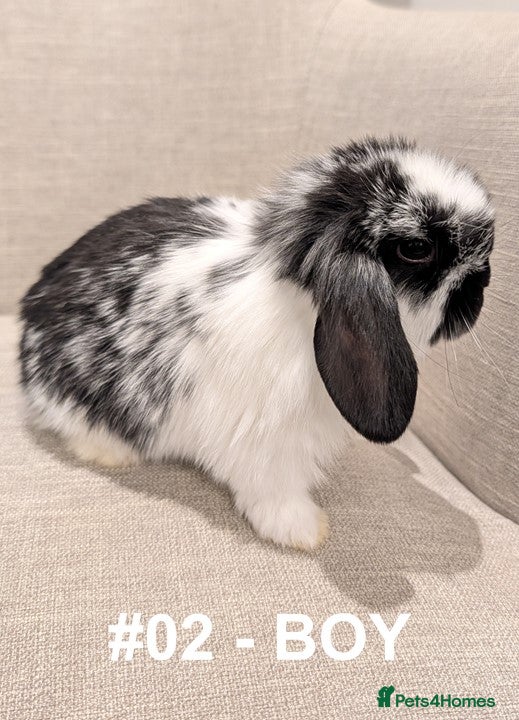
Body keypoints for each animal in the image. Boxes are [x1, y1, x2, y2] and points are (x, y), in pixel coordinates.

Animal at [20, 137, 494, 550]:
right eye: (416, 248)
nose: (483, 283)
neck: (301, 299)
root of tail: (29, 312)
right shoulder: (265, 444)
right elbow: (274, 493)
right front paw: (306, 531)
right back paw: (110, 453)